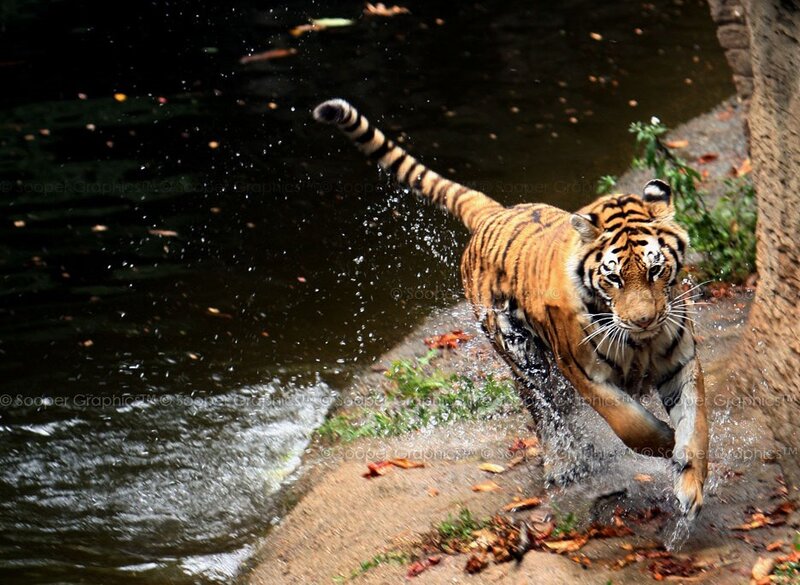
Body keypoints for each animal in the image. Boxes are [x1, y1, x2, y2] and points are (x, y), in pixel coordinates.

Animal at [312, 98, 708, 520]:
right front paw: (665, 442)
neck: (641, 344)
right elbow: (630, 423)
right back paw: (565, 466)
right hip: (523, 357)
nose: (644, 320)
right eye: (614, 278)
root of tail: (494, 213)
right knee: (544, 412)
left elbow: (695, 425)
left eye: (655, 269)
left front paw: (690, 484)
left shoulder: (681, 363)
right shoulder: (588, 375)